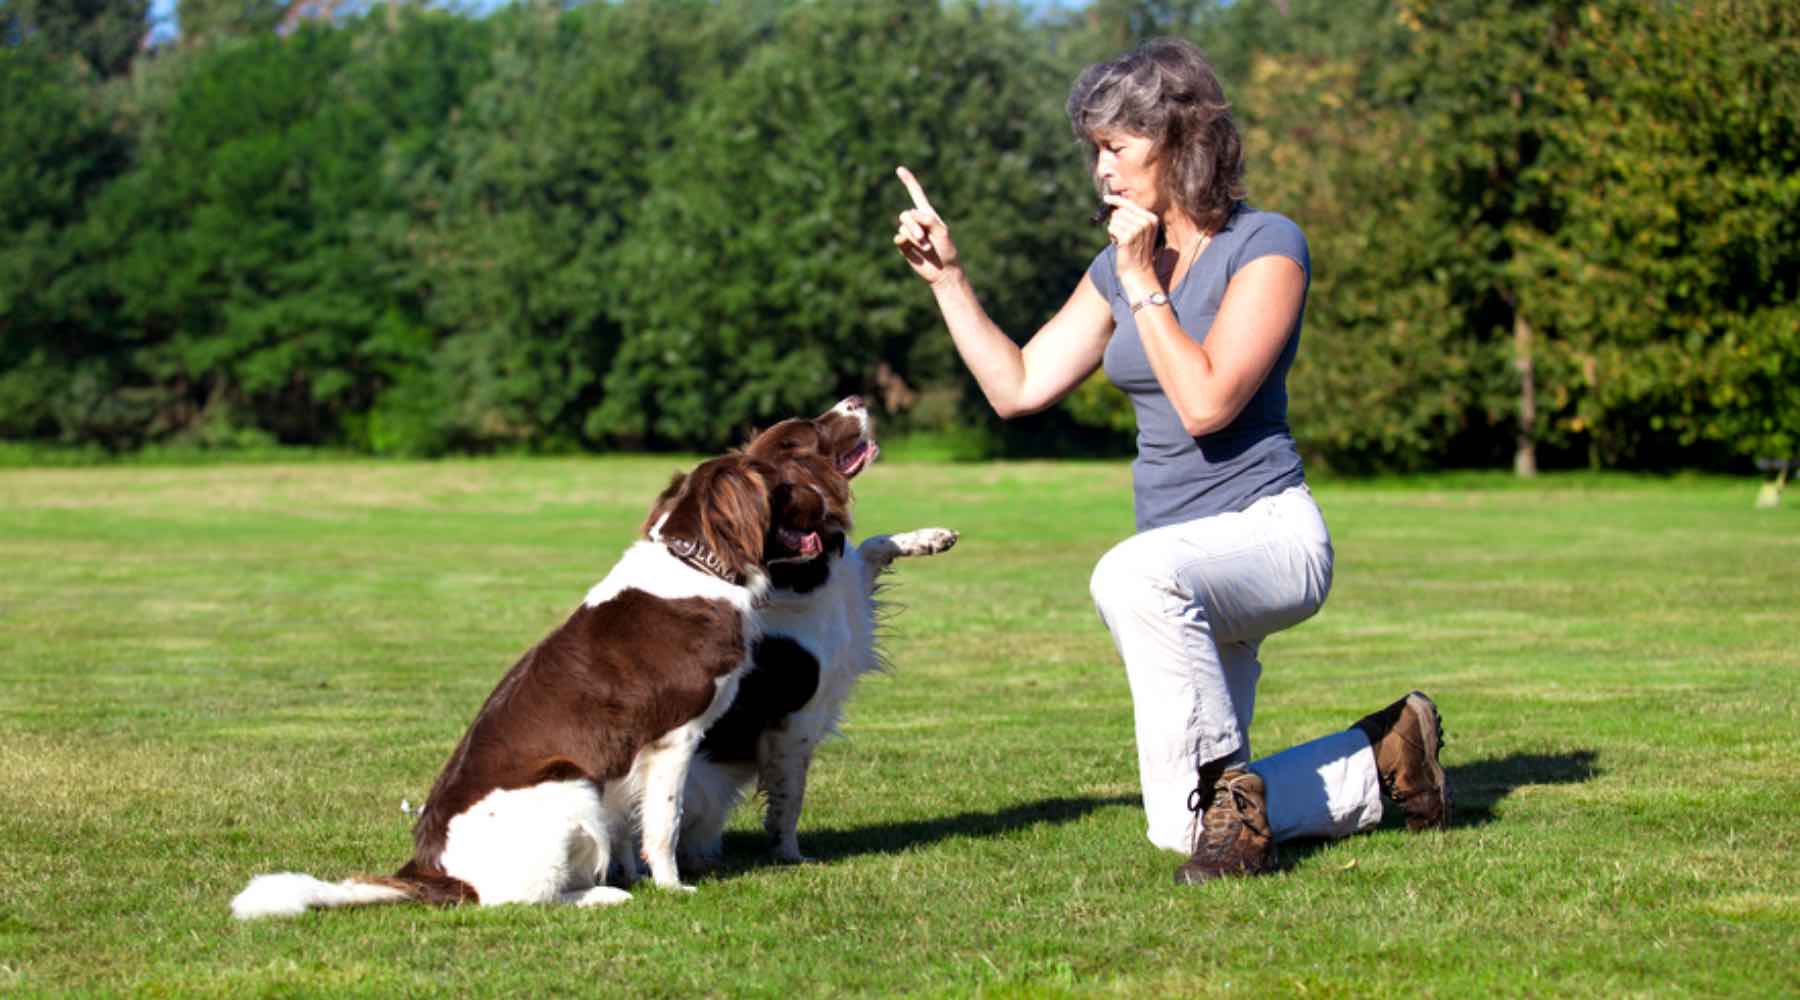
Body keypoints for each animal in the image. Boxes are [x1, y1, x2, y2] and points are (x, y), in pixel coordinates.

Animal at [226, 455, 835, 920]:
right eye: (783, 485)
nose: (830, 507)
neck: (698, 566)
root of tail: (434, 871)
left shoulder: (625, 755)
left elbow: (629, 821)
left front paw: (635, 873)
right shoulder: (675, 738)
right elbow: (665, 822)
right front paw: (670, 885)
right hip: (568, 787)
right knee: (515, 901)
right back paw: (602, 895)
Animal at [644, 393, 957, 870]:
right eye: (812, 429)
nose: (857, 398)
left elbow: (873, 545)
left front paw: (930, 538)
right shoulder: (795, 720)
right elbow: (790, 797)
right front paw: (789, 854)